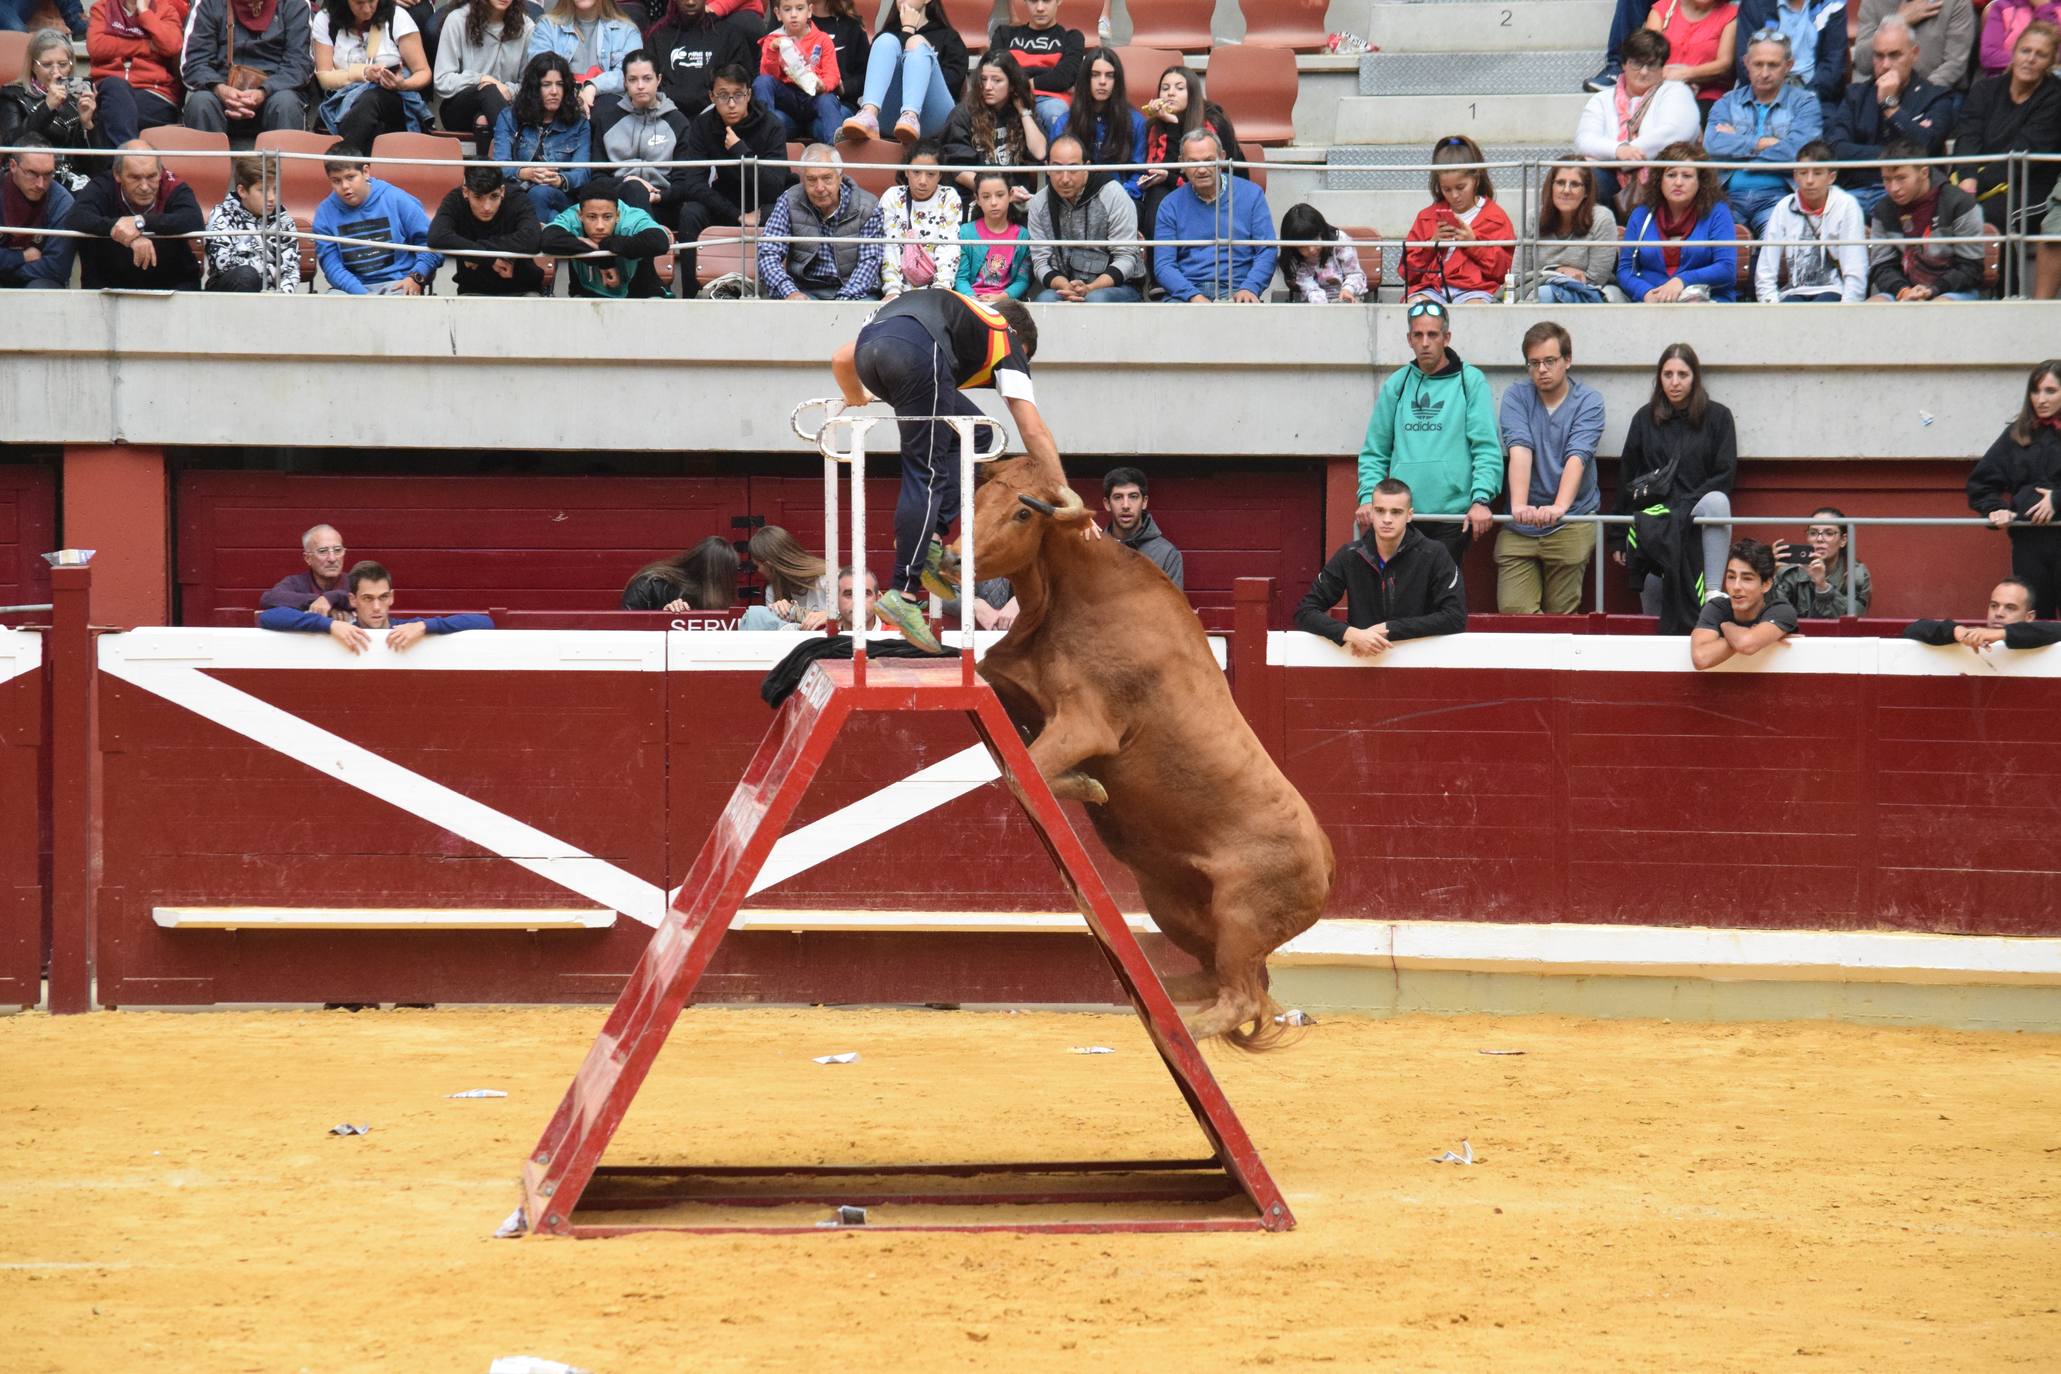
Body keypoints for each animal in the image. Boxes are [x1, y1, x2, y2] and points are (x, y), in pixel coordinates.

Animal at [968, 457, 1335, 1046]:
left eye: (1024, 513)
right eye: (979, 498)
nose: (955, 556)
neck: (1073, 598)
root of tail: (1328, 864)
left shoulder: (1086, 724)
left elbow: (1025, 775)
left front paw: (1087, 786)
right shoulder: (1010, 684)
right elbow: (1014, 751)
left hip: (1241, 914)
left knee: (1240, 996)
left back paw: (1181, 1024)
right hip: (1174, 906)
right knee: (1223, 981)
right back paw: (1150, 989)